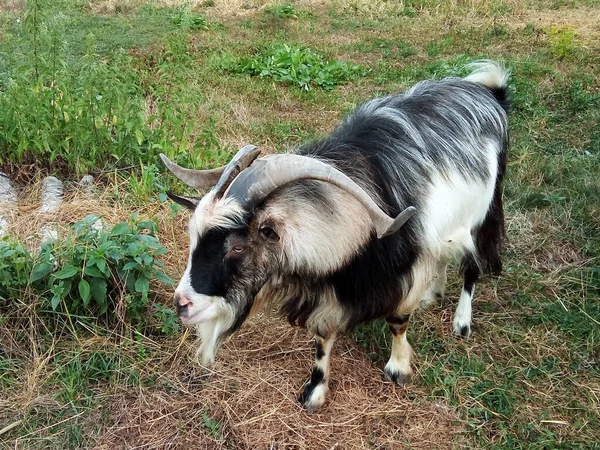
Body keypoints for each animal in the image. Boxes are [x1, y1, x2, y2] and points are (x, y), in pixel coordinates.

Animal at [162, 59, 508, 412]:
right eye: (194, 237)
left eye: (237, 248)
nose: (182, 305)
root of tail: (488, 91)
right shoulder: (328, 288)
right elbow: (322, 337)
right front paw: (314, 391)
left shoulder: (405, 268)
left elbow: (398, 320)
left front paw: (398, 369)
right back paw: (433, 293)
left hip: (484, 212)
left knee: (472, 265)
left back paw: (462, 322)